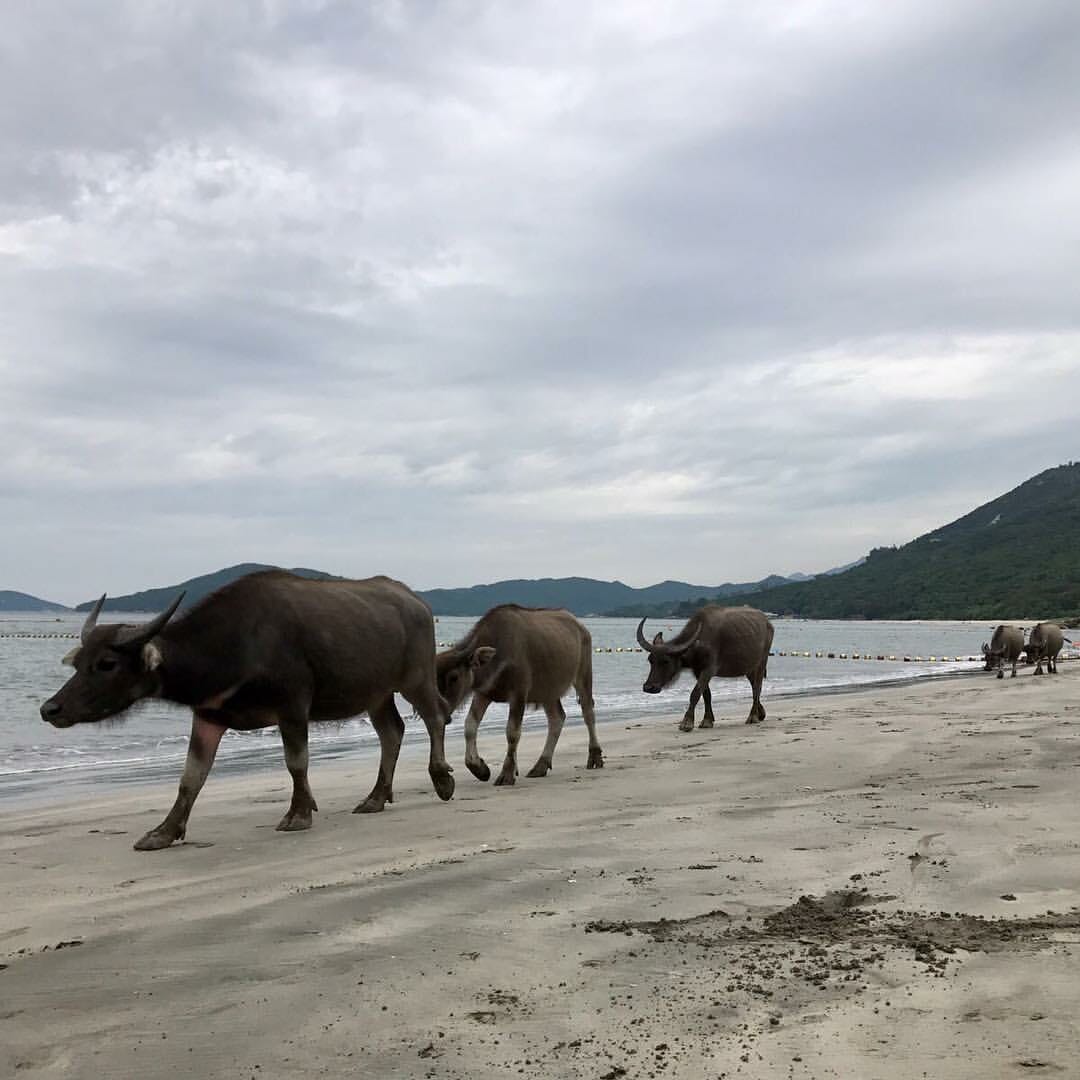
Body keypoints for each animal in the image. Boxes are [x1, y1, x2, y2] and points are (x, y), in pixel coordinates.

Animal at [39, 574, 453, 851]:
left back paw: (442, 779)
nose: (49, 708)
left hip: (416, 679)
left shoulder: (293, 706)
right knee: (392, 732)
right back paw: (375, 798)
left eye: (107, 663)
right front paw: (163, 832)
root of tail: (418, 603)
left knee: (436, 716)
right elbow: (191, 777)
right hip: (376, 694)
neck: (235, 643)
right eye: (79, 662)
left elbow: (296, 762)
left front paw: (298, 814)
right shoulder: (207, 717)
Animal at [438, 609, 609, 786]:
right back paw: (540, 766)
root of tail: (581, 628)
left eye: (454, 677)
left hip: (583, 676)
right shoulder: (483, 694)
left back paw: (595, 757)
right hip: (548, 691)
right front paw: (480, 769)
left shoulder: (519, 694)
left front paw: (507, 774)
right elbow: (470, 726)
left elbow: (512, 732)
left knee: (588, 713)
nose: (442, 712)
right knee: (557, 718)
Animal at [635, 604, 773, 730]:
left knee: (757, 687)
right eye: (650, 660)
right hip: (748, 667)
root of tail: (767, 623)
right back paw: (760, 713)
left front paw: (687, 723)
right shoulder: (698, 671)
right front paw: (707, 720)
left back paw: (753, 717)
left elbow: (695, 693)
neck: (698, 644)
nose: (649, 687)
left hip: (762, 661)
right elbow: (706, 694)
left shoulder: (709, 669)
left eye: (666, 661)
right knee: (755, 686)